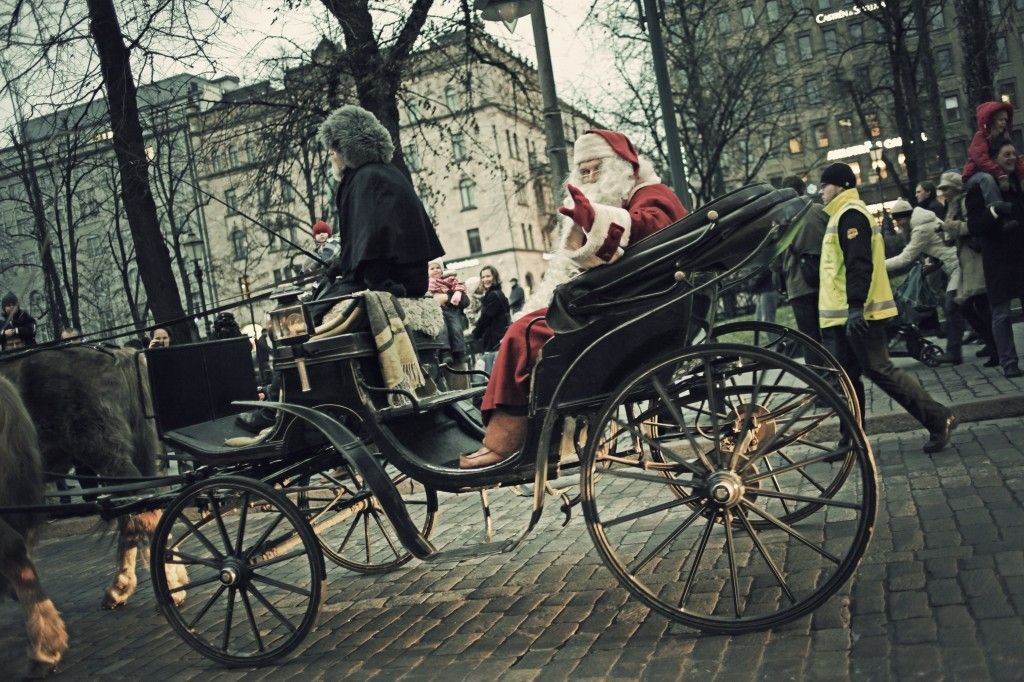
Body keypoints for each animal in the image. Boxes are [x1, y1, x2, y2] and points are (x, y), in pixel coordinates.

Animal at [0, 348, 188, 606]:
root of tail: (117, 354)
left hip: (104, 453)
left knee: (146, 514)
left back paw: (170, 586)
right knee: (134, 514)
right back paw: (122, 586)